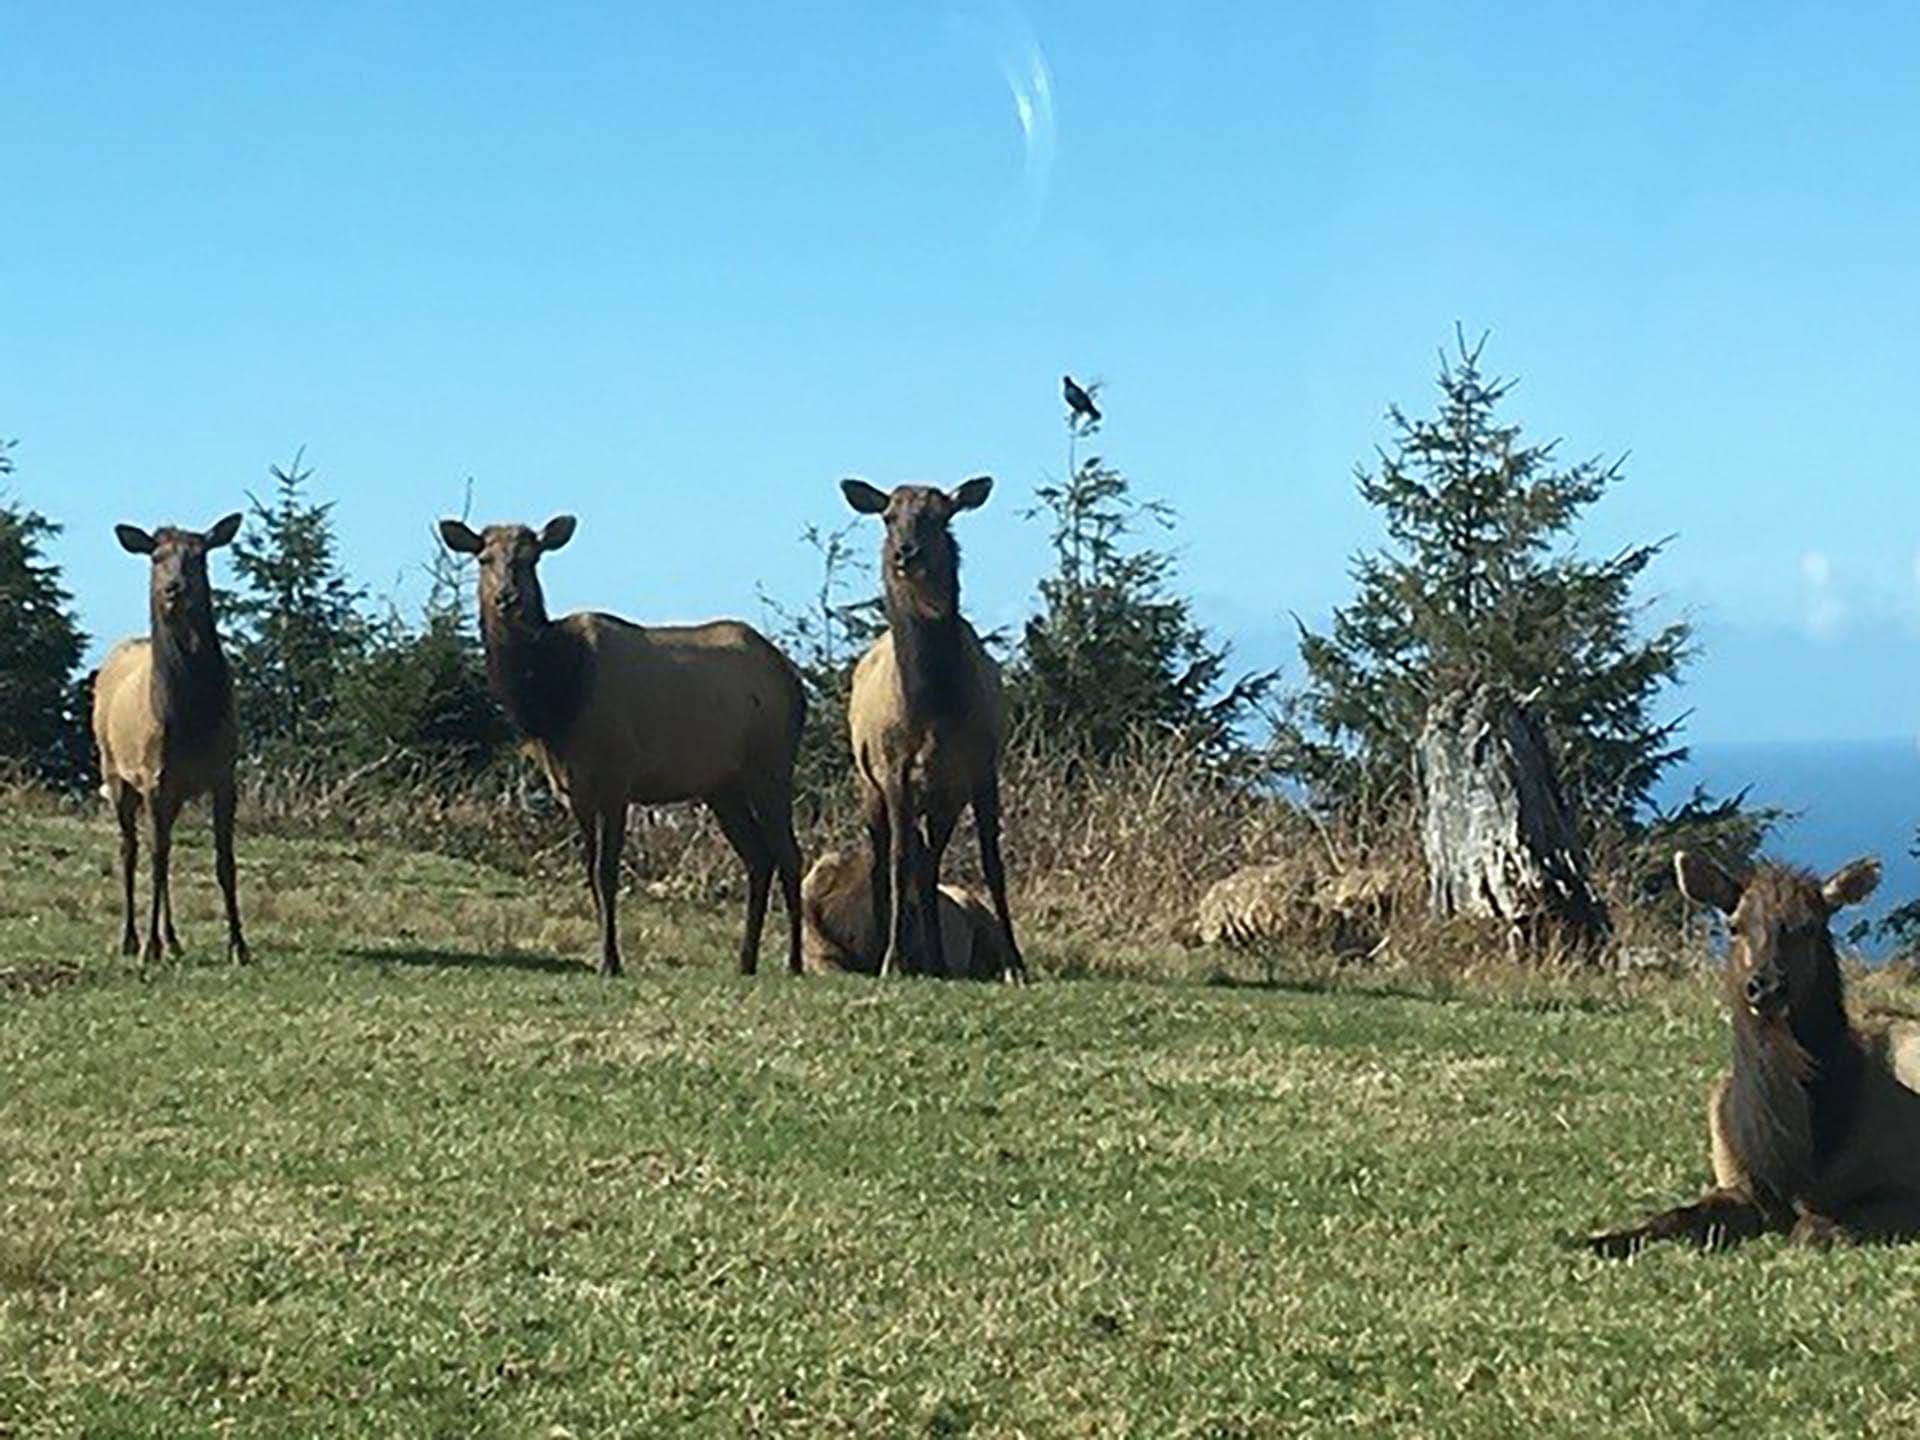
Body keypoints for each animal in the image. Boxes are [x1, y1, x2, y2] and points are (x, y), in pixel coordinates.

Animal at [92, 514, 250, 967]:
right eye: (156, 556)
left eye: (200, 556)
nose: (174, 589)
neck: (191, 720)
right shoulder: (154, 777)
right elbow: (156, 858)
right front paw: (149, 946)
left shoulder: (222, 774)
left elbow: (224, 861)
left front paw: (239, 945)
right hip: (114, 768)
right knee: (131, 849)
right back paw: (132, 939)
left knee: (163, 848)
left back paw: (173, 939)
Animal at [439, 515, 806, 977]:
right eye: (484, 558)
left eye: (531, 558)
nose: (508, 597)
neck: (554, 700)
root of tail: (795, 683)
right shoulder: (572, 790)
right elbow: (589, 872)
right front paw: (603, 956)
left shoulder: (617, 778)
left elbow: (607, 872)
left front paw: (611, 960)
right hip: (721, 785)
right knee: (758, 858)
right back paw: (745, 960)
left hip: (770, 764)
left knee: (790, 854)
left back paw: (794, 961)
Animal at [840, 477, 1024, 981]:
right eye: (888, 516)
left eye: (943, 517)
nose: (908, 552)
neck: (936, 708)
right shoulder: (893, 769)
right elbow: (899, 861)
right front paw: (891, 960)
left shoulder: (980, 767)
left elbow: (991, 861)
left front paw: (1016, 964)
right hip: (869, 785)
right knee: (885, 856)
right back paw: (890, 951)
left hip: (942, 799)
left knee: (929, 860)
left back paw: (936, 959)